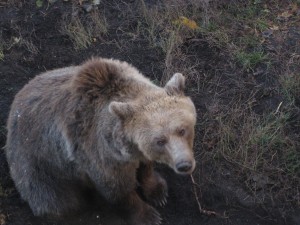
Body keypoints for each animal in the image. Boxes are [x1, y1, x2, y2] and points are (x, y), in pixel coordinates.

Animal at [5, 57, 197, 224]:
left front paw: (158, 192)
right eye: (160, 141)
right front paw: (149, 216)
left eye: (182, 130)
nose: (183, 165)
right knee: (56, 201)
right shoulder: (99, 153)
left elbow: (146, 165)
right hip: (39, 164)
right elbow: (117, 188)